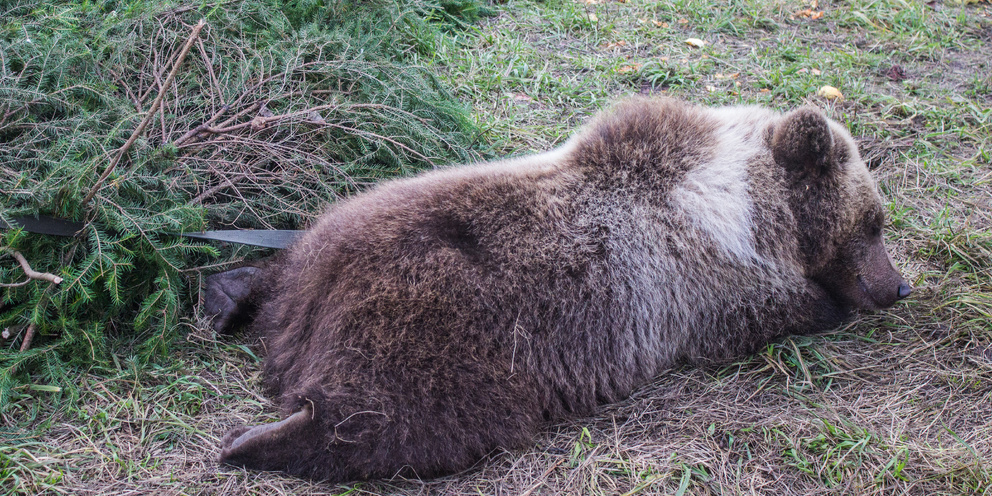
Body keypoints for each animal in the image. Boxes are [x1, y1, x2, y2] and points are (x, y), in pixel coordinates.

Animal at [205, 97, 911, 482]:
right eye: (874, 223)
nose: (898, 286)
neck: (747, 205)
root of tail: (324, 293)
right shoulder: (708, 284)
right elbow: (784, 308)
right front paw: (830, 302)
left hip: (334, 241)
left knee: (286, 268)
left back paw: (229, 294)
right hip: (442, 342)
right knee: (388, 423)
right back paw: (256, 440)